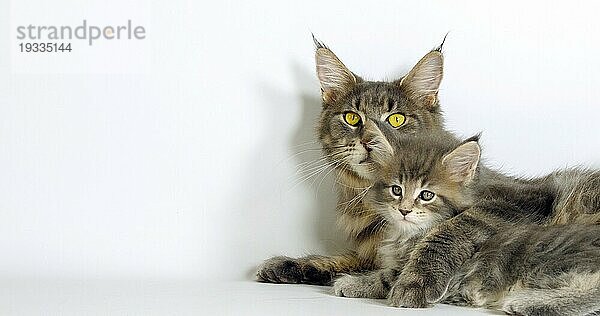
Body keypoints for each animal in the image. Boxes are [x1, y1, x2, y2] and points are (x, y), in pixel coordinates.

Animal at [332, 132, 600, 314]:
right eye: (396, 190)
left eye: (426, 195)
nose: (404, 210)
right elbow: (390, 271)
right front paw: (357, 281)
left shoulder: (520, 199)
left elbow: (397, 272)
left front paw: (396, 284)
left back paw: (528, 302)